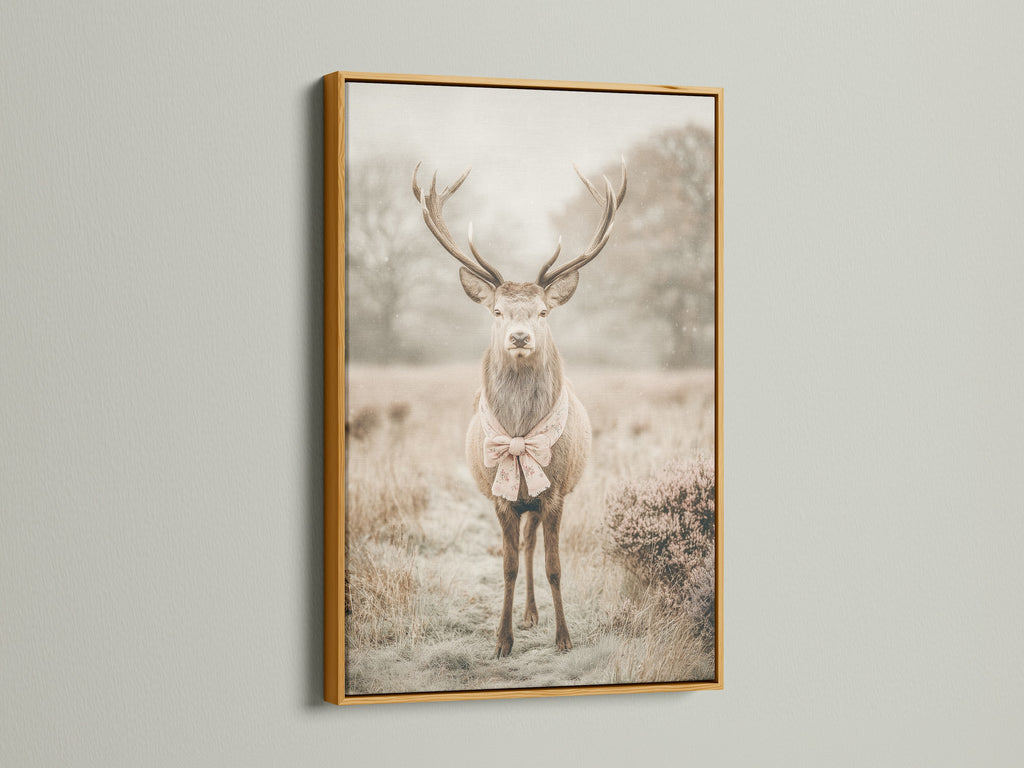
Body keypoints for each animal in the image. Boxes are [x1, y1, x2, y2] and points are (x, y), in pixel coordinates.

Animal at [412, 160, 626, 657]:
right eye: (496, 311)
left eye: (543, 312)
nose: (520, 336)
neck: (519, 434)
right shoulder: (499, 496)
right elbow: (506, 566)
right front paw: (501, 640)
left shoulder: (556, 492)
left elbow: (554, 567)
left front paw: (563, 638)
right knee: (522, 551)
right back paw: (525, 616)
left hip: (540, 496)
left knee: (532, 549)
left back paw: (534, 614)